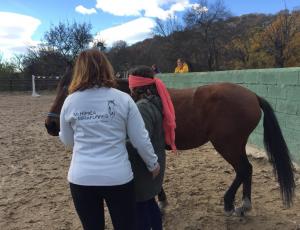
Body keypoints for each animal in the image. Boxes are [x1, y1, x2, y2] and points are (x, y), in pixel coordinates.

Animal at [45, 73, 296, 216]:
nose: (50, 124)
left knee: (244, 169)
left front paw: (161, 203)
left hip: (228, 145)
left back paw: (233, 204)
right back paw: (244, 204)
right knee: (246, 171)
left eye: (71, 90)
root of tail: (253, 95)